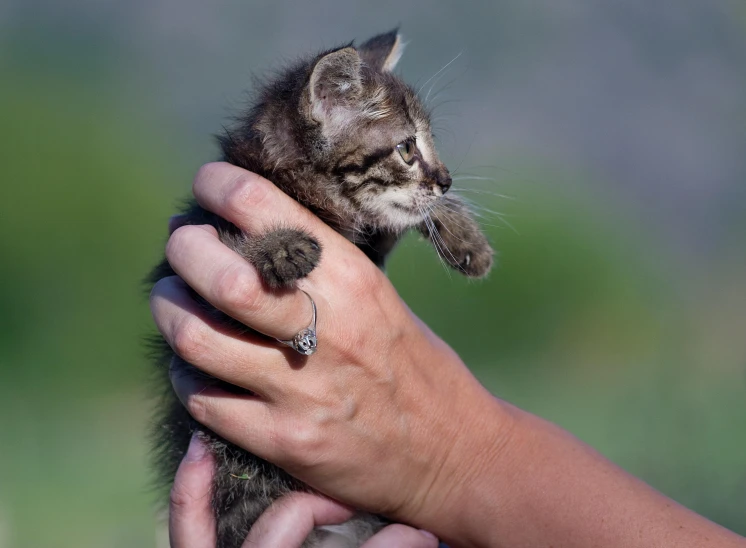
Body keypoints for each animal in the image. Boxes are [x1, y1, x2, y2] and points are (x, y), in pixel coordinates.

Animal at [147, 30, 492, 548]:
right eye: (407, 148)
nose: (447, 179)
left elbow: (403, 217)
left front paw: (465, 237)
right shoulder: (192, 263)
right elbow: (228, 241)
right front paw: (279, 246)